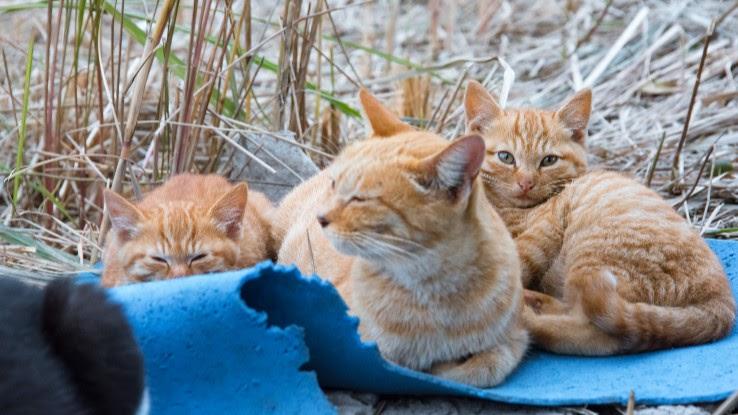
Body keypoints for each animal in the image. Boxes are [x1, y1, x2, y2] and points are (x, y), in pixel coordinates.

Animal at [274, 89, 528, 388]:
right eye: (334, 184)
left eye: (360, 199)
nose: (320, 218)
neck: (432, 288)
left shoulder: (515, 339)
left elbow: (480, 369)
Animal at [462, 80, 732, 354]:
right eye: (506, 157)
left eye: (549, 160)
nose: (526, 183)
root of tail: (720, 301)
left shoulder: (544, 231)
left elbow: (511, 262)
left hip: (592, 254)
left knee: (594, 331)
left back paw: (529, 315)